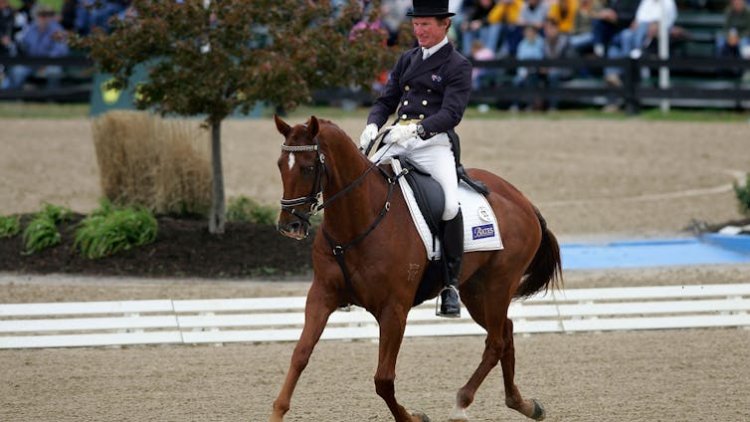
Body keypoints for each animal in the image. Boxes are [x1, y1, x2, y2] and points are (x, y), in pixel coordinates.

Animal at [271, 115, 562, 422]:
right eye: (280, 164)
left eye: (308, 167)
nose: (289, 226)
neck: (359, 220)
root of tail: (523, 200)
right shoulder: (322, 295)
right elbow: (300, 354)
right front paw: (277, 411)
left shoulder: (394, 310)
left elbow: (383, 379)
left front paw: (412, 417)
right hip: (475, 292)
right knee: (506, 331)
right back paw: (523, 404)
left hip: (498, 285)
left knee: (495, 342)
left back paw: (462, 403)